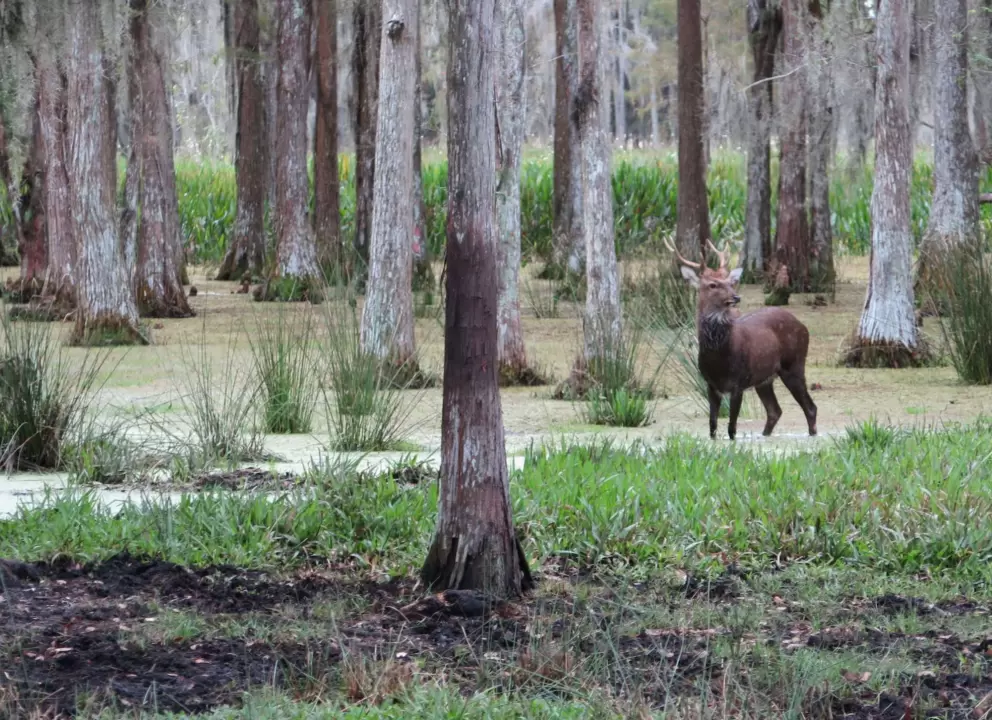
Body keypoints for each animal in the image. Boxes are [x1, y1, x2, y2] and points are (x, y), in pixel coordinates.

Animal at [666, 238, 817, 441]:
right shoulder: (710, 384)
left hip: (794, 365)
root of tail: (803, 326)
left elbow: (732, 428)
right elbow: (712, 426)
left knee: (810, 408)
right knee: (775, 411)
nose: (736, 297)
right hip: (764, 379)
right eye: (713, 284)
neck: (719, 358)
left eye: (730, 282)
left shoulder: (738, 381)